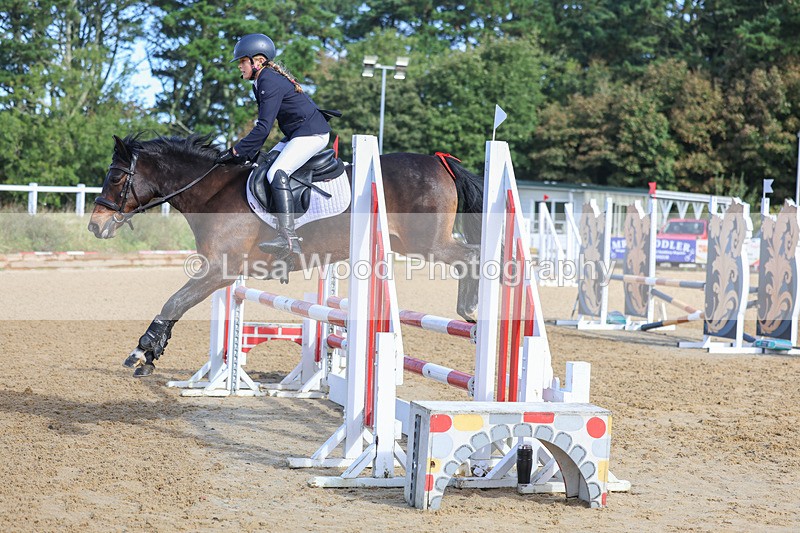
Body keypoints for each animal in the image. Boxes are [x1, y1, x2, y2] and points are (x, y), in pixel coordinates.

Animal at [88, 134, 484, 377]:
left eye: (115, 178)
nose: (95, 225)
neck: (212, 191)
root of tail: (439, 162)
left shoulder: (220, 270)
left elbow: (175, 302)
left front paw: (143, 351)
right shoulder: (219, 271)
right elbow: (178, 303)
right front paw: (151, 353)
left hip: (428, 244)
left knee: (473, 256)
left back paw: (471, 311)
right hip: (408, 244)